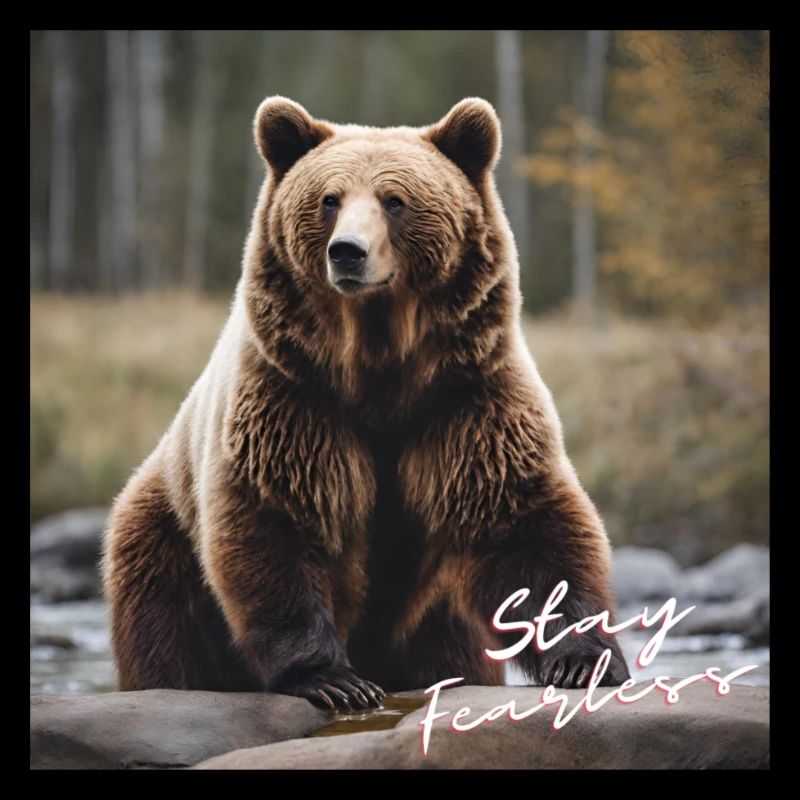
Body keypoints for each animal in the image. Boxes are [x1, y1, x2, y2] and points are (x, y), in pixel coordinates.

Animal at [101, 96, 631, 710]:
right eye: (329, 199)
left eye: (395, 200)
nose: (347, 252)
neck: (378, 365)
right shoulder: (294, 398)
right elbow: (275, 517)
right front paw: (333, 679)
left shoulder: (466, 400)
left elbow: (524, 521)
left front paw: (584, 658)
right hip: (162, 540)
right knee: (167, 632)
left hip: (437, 619)